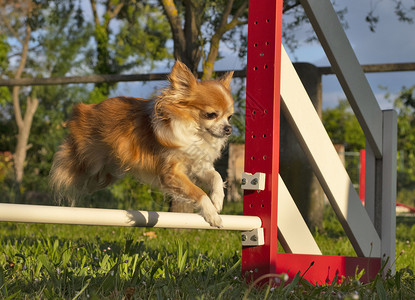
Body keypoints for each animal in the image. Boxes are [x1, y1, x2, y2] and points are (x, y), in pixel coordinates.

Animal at [49, 61, 234, 226]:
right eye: (211, 115)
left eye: (229, 117)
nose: (228, 129)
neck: (196, 134)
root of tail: (85, 108)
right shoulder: (170, 173)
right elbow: (198, 192)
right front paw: (212, 214)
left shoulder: (197, 166)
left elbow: (216, 176)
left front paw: (217, 199)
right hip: (89, 162)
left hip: (111, 171)